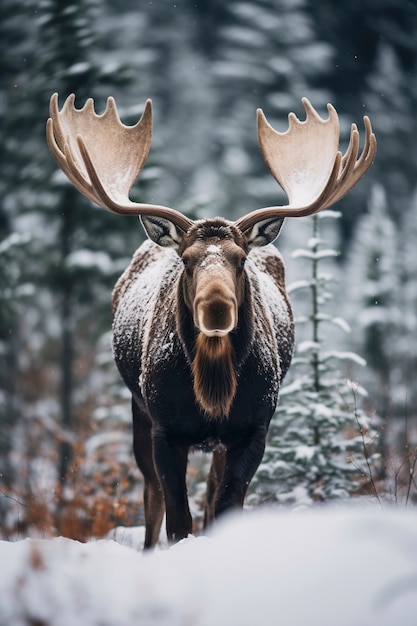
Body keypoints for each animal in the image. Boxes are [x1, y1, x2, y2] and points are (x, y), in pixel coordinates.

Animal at [47, 94, 376, 544]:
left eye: (240, 259)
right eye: (187, 260)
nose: (217, 308)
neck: (213, 389)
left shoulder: (254, 428)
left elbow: (225, 506)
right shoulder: (165, 428)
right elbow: (176, 518)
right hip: (138, 410)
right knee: (150, 496)